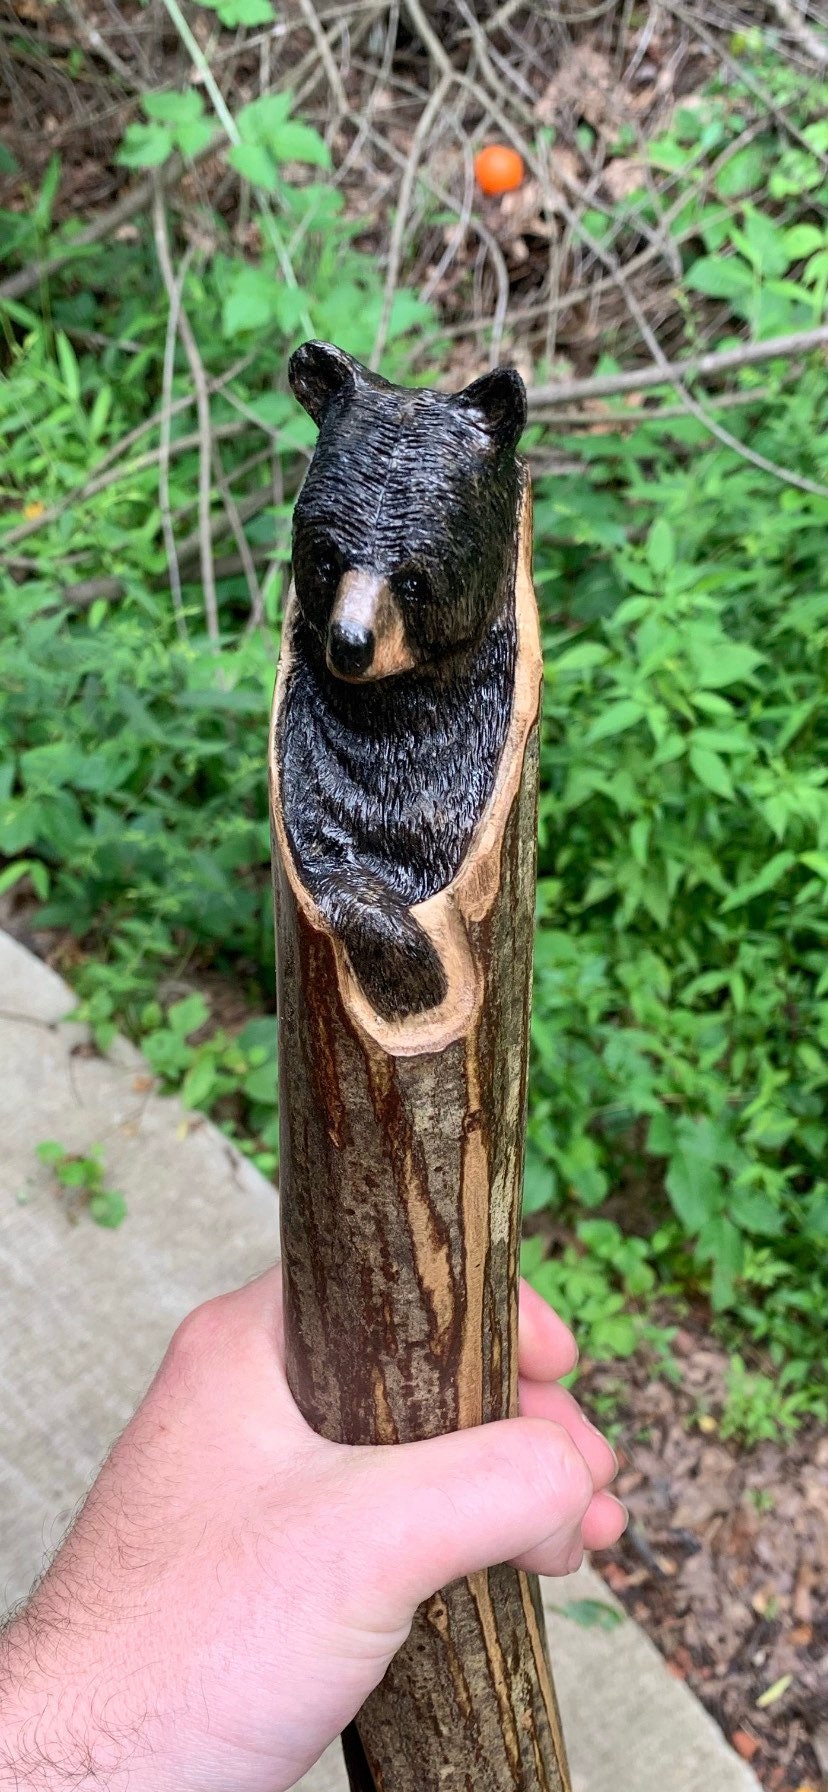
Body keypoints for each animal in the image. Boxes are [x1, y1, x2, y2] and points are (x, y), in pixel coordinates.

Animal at [277, 339, 527, 1023]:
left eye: (414, 579)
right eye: (326, 559)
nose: (349, 644)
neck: (404, 704)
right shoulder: (310, 746)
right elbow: (321, 842)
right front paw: (410, 965)